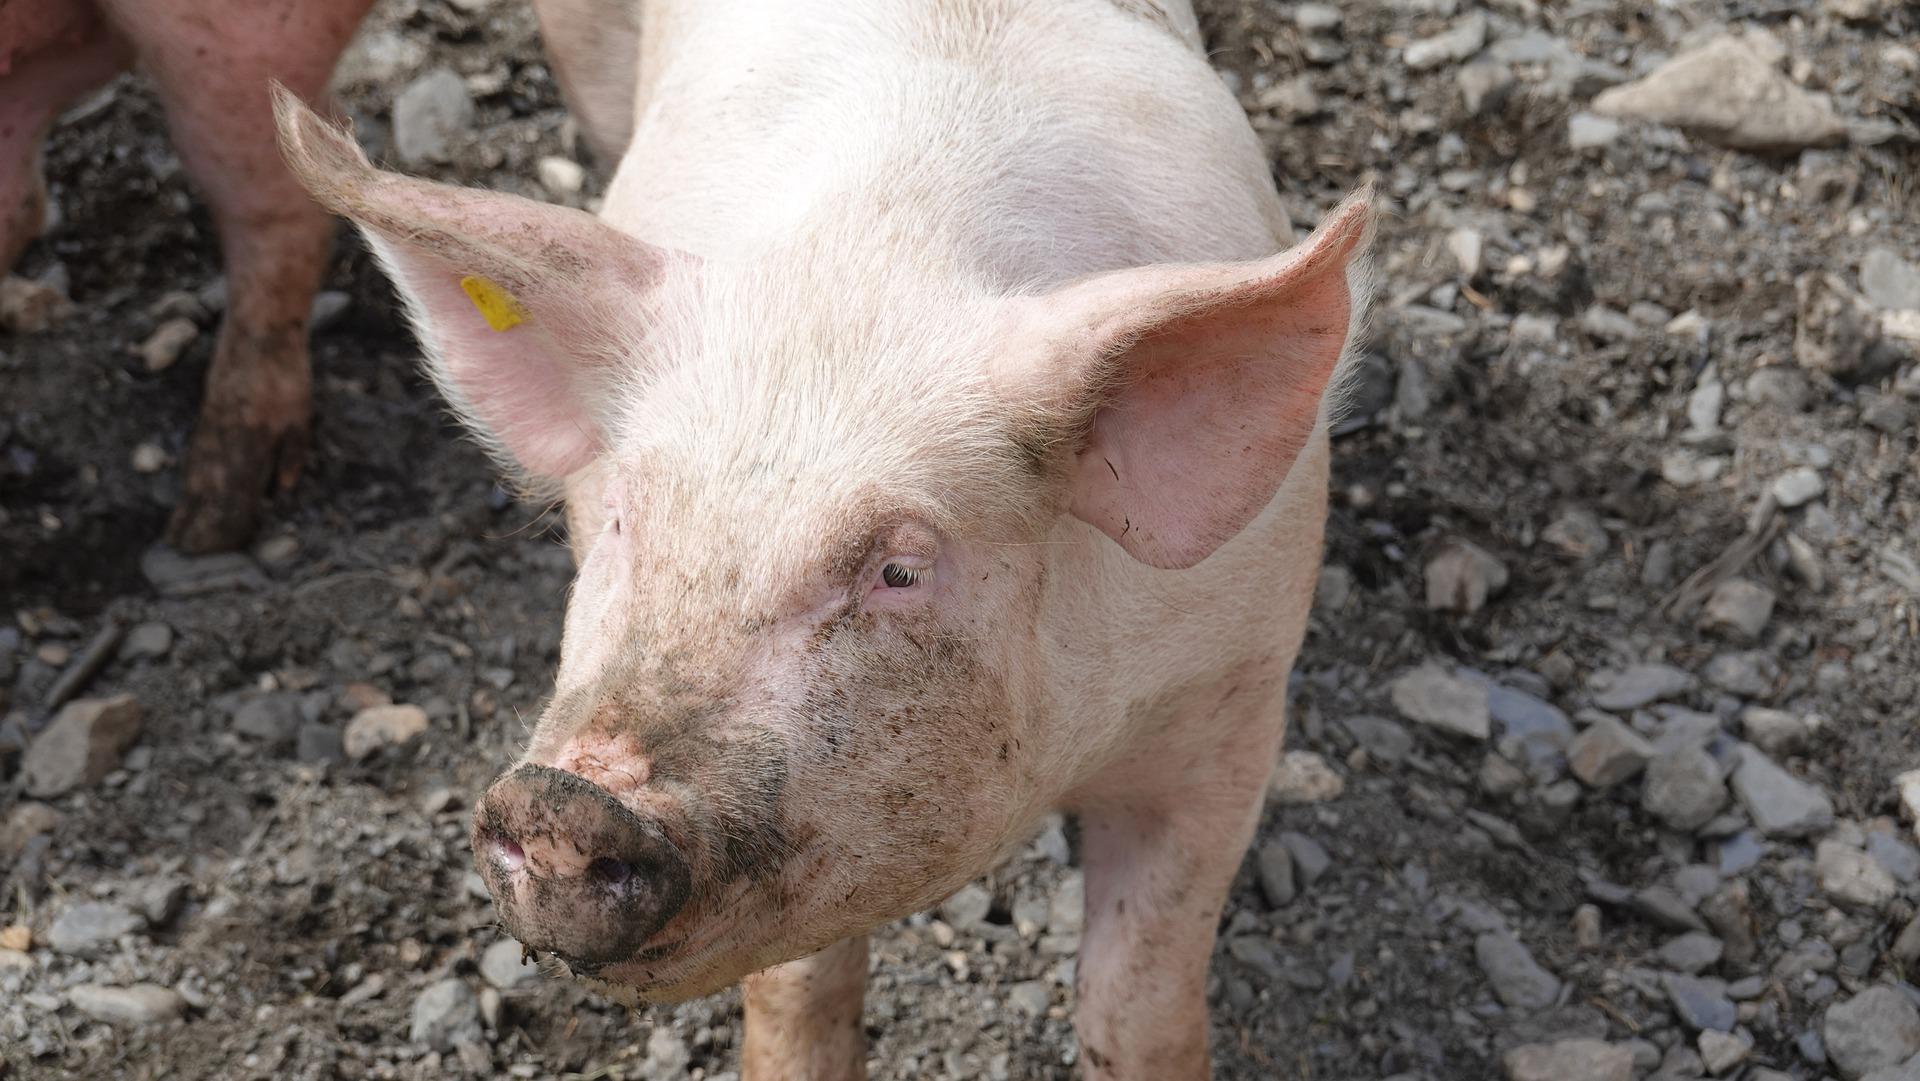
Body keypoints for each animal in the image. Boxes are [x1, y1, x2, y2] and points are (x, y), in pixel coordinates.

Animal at [274, 4, 1382, 1075]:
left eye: (900, 568)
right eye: (627, 515)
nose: (565, 800)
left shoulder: (1232, 699)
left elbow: (1142, 1003)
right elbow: (800, 990)